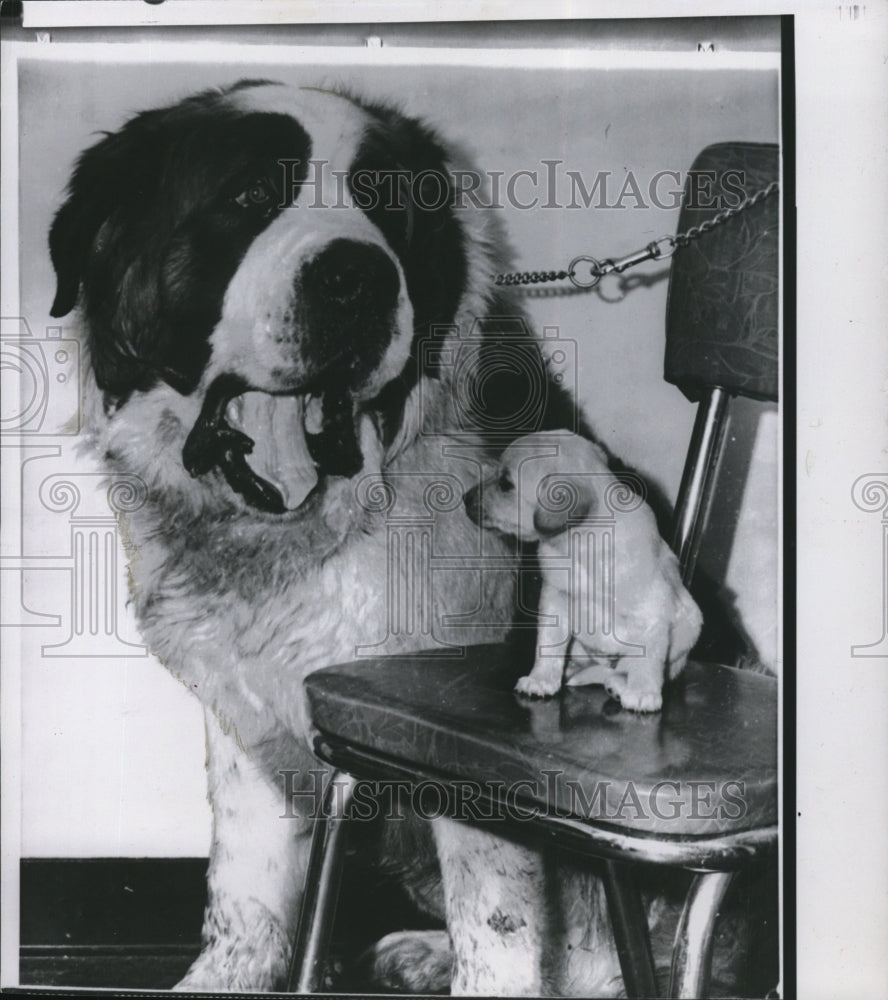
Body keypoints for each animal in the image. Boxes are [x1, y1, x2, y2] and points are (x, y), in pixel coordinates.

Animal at [48, 82, 636, 996]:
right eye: (250, 196)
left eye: (387, 210)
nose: (356, 276)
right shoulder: (249, 720)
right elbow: (246, 887)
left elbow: (500, 927)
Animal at [464, 432, 700, 712]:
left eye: (505, 483)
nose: (464, 498)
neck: (581, 547)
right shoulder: (555, 604)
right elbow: (548, 648)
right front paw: (541, 680)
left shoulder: (653, 612)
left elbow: (647, 662)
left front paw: (643, 692)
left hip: (690, 625)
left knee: (621, 670)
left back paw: (619, 686)